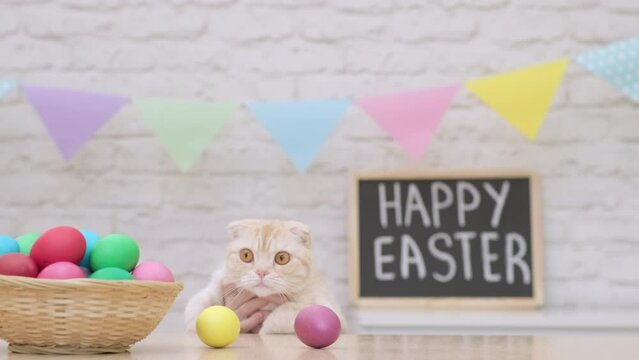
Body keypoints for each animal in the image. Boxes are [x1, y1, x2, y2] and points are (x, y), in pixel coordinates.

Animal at [185, 218, 344, 334]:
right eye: (246, 255)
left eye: (282, 258)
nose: (261, 271)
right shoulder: (220, 280)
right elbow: (200, 301)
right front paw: (194, 324)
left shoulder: (334, 313)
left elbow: (287, 314)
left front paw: (265, 329)